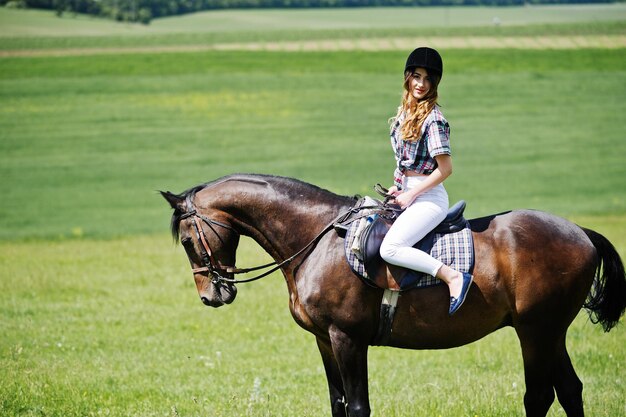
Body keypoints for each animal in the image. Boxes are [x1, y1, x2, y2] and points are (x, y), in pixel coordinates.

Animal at [162, 173, 624, 416]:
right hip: (550, 333)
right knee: (569, 390)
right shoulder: (323, 341)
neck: (317, 239)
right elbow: (338, 403)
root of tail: (580, 232)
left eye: (186, 240)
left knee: (540, 395)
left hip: (535, 332)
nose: (211, 295)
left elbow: (357, 406)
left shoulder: (347, 338)